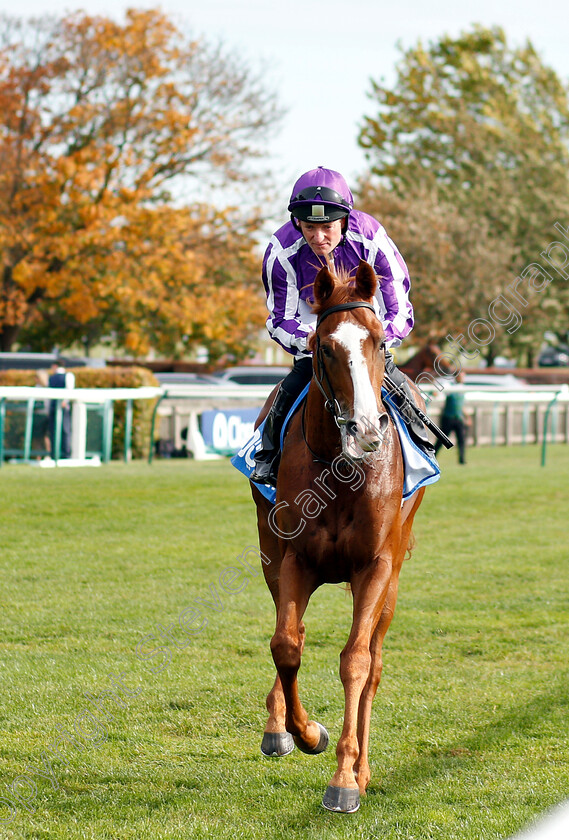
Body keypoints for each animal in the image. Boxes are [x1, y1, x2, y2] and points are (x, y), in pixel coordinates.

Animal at [251, 262, 424, 812]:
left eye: (378, 341)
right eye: (325, 347)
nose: (366, 429)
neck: (342, 471)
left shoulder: (375, 566)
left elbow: (356, 661)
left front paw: (346, 777)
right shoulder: (294, 560)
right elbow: (286, 644)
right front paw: (304, 733)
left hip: (393, 578)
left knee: (374, 661)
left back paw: (363, 771)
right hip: (268, 552)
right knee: (293, 634)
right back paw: (278, 726)